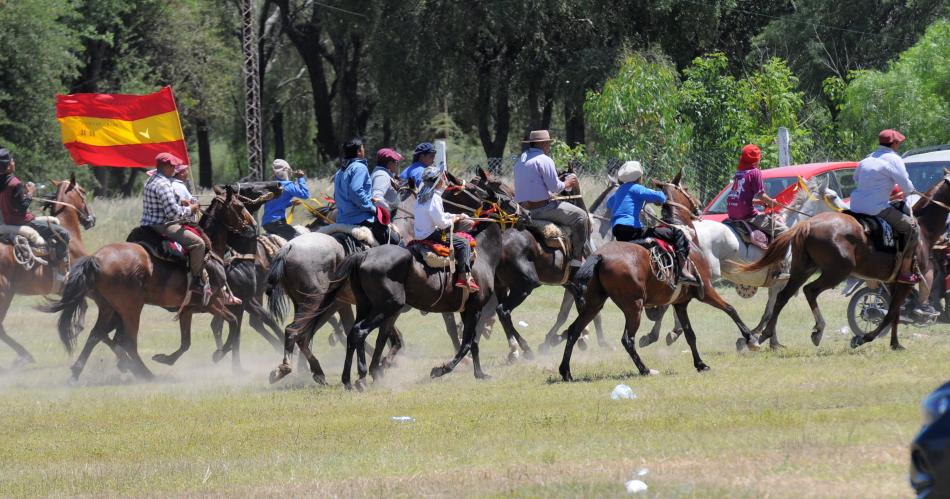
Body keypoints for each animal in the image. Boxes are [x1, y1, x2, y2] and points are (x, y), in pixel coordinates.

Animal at [44, 186, 256, 380]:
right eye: (239, 206)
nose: (252, 226)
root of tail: (95, 258)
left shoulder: (187, 310)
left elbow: (186, 343)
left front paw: (165, 359)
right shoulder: (213, 303)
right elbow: (233, 322)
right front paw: (218, 354)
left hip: (108, 307)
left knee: (97, 334)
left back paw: (78, 371)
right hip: (131, 309)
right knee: (127, 342)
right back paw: (144, 373)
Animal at [556, 173, 756, 382]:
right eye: (685, 188)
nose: (699, 205)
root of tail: (600, 256)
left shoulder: (680, 303)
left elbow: (690, 334)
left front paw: (700, 364)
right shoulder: (706, 290)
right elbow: (730, 309)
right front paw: (751, 339)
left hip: (594, 303)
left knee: (574, 331)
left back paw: (566, 371)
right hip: (633, 306)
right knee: (627, 339)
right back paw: (645, 369)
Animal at [640, 178, 848, 350]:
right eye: (833, 196)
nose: (846, 212)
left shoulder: (774, 285)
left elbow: (771, 311)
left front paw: (772, 342)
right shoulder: (780, 282)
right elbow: (770, 313)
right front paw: (754, 338)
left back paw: (663, 333)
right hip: (706, 276)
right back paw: (661, 333)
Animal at [740, 170, 950, 350]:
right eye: (833, 196)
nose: (846, 208)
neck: (924, 229)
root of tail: (807, 224)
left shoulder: (893, 282)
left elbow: (895, 313)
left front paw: (895, 343)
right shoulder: (906, 281)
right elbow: (890, 313)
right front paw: (863, 338)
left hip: (803, 269)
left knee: (783, 297)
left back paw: (765, 335)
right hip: (836, 272)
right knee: (810, 291)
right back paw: (817, 330)